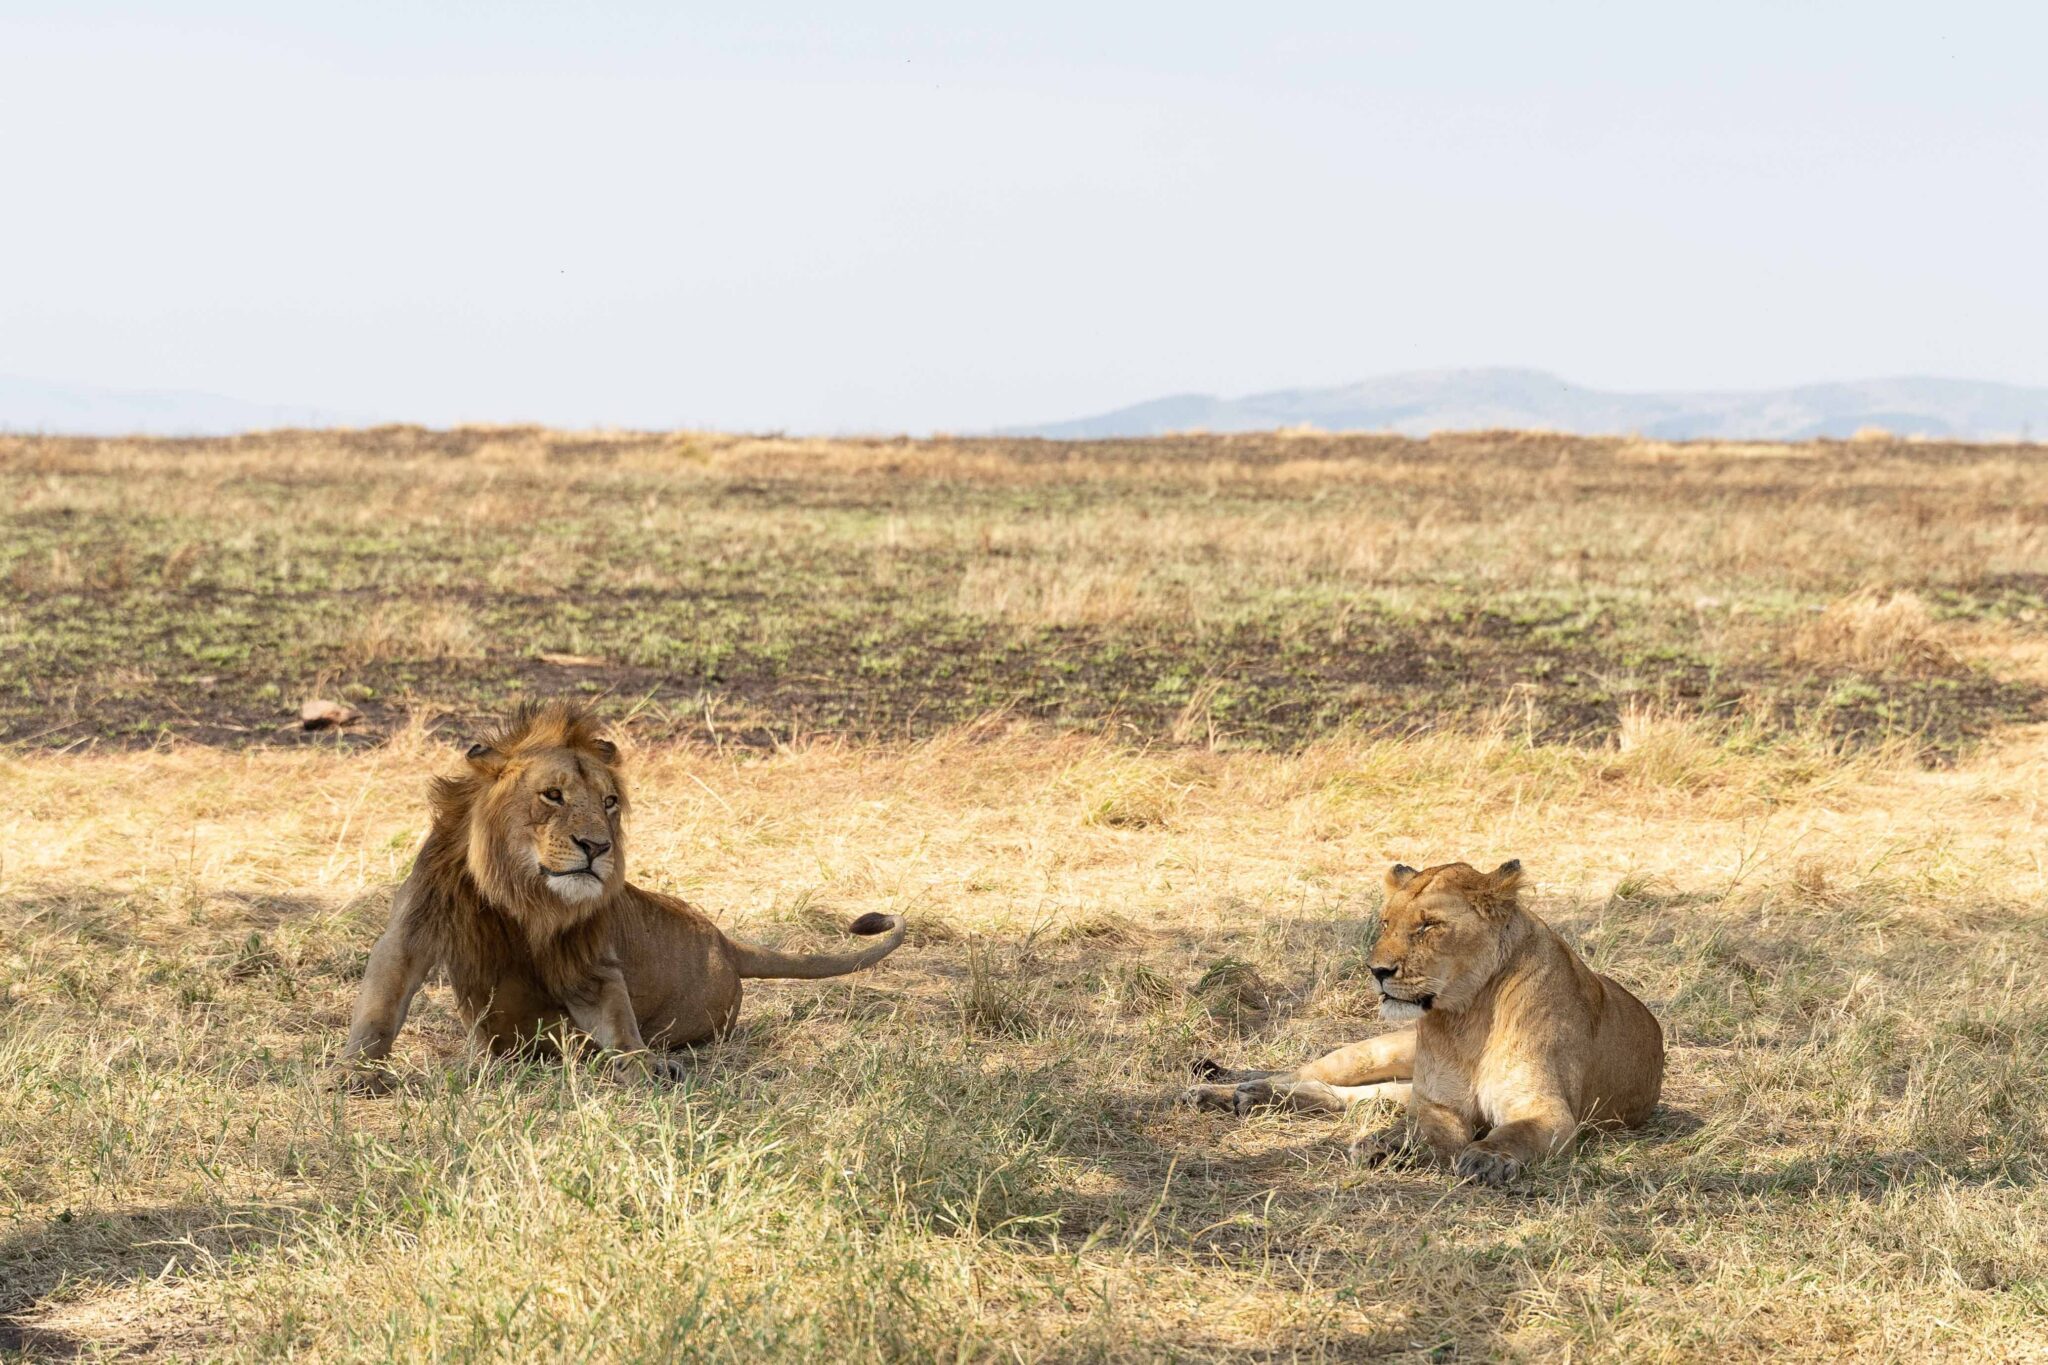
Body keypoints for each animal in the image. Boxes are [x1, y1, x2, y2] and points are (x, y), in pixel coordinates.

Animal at [337, 701, 907, 1089]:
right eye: (553, 795)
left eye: (609, 802)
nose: (597, 846)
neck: (522, 894)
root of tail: (725, 942)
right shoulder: (411, 932)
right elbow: (378, 1010)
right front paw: (355, 1074)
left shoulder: (590, 966)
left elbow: (617, 1027)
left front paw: (643, 1066)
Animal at [1184, 859, 1663, 1185]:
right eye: (1385, 922)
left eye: (1429, 926)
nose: (1376, 971)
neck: (1469, 1016)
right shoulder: (1436, 1103)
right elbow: (1424, 1133)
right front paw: (1391, 1146)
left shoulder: (1546, 1109)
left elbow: (1515, 1134)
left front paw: (1485, 1157)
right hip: (1374, 1052)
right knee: (1305, 1074)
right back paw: (1228, 1092)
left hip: (1396, 1085)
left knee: (1355, 1098)